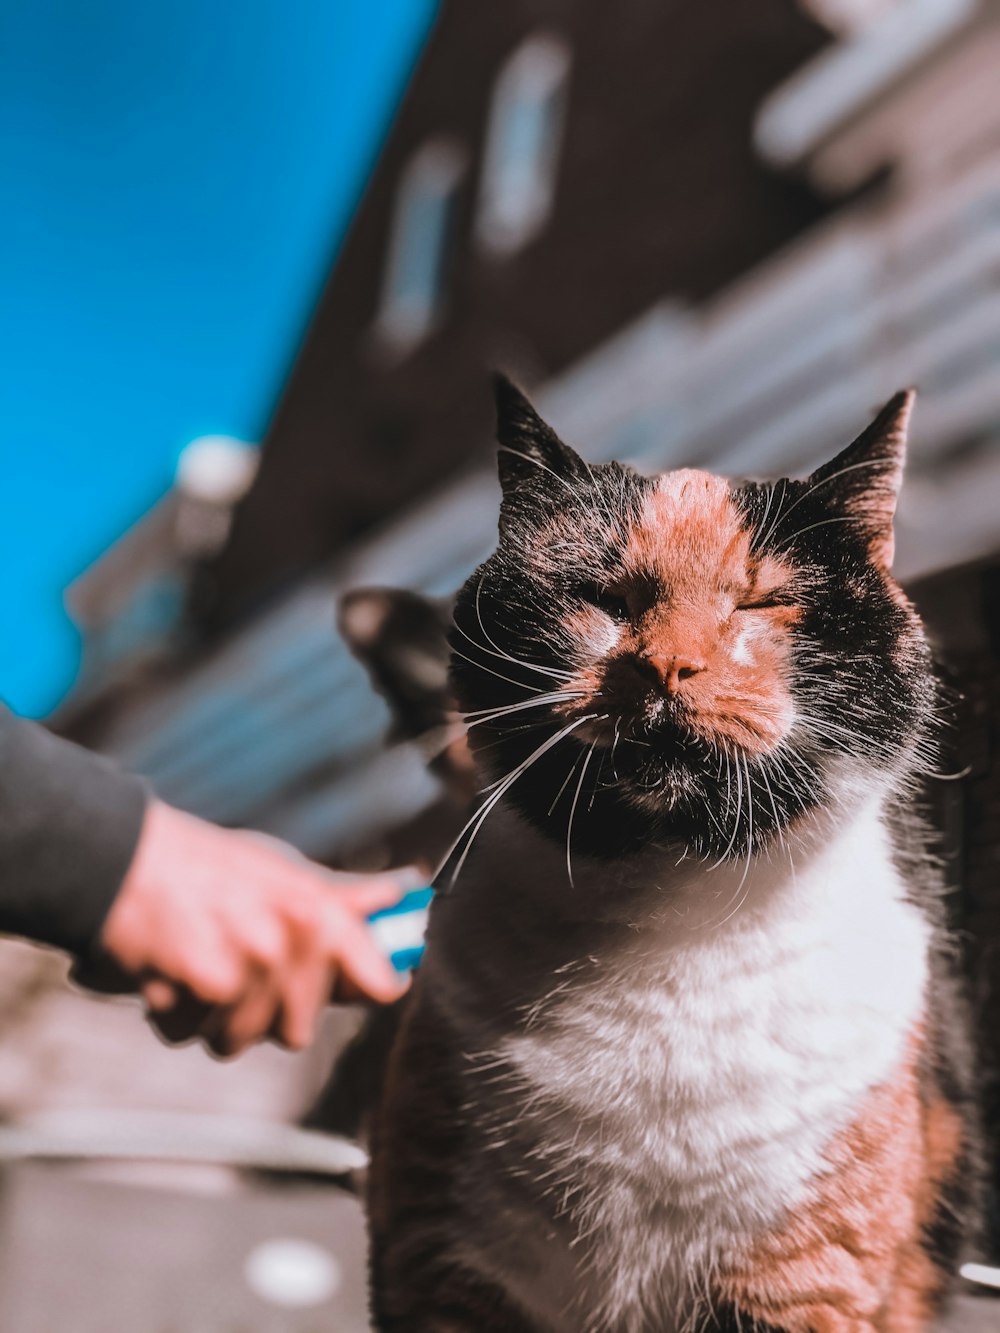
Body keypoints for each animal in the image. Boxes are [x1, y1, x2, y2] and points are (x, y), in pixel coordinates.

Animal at [365, 375, 976, 1333]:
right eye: (603, 597)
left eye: (762, 603)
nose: (665, 666)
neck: (669, 911)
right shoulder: (438, 1264)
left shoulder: (807, 1282)